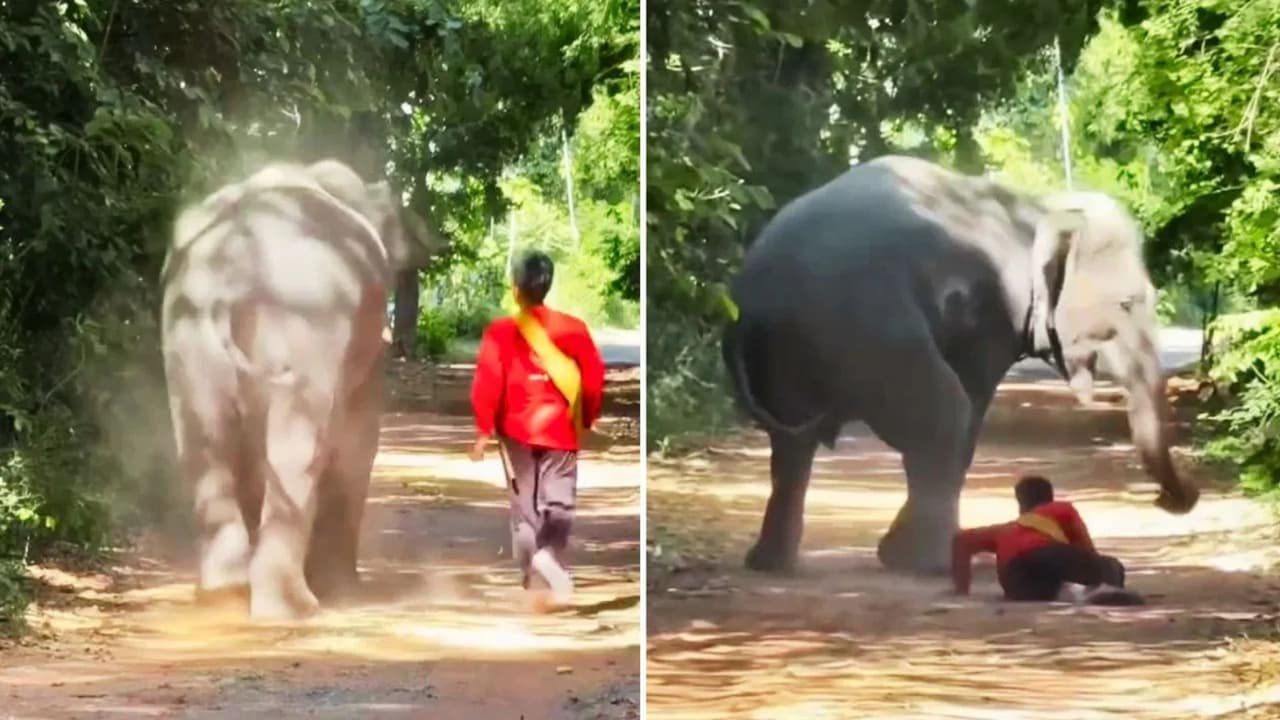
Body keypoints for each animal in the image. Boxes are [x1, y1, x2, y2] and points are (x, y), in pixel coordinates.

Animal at [160, 159, 445, 620]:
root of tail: (232, 275)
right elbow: (358, 442)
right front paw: (345, 593)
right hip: (308, 322)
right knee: (298, 450)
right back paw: (294, 608)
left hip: (186, 335)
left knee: (204, 441)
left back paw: (226, 599)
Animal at [721, 154, 1201, 576]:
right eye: (1128, 303)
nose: (1171, 499)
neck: (1040, 206)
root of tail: (751, 293)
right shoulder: (993, 313)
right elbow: (973, 400)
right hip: (869, 339)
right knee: (943, 415)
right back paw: (924, 564)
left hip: (790, 356)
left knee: (791, 448)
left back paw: (772, 564)